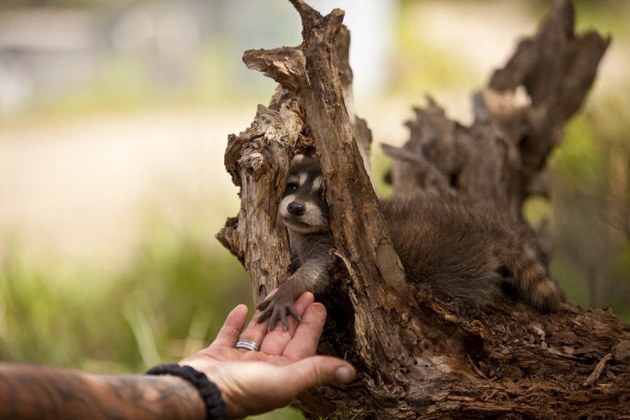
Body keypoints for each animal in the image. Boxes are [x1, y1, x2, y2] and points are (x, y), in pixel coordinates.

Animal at [260, 154, 564, 328]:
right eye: (292, 186)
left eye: (323, 194)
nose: (296, 208)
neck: (307, 231)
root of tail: (488, 226)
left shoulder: (335, 249)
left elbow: (316, 273)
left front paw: (289, 289)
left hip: (458, 265)